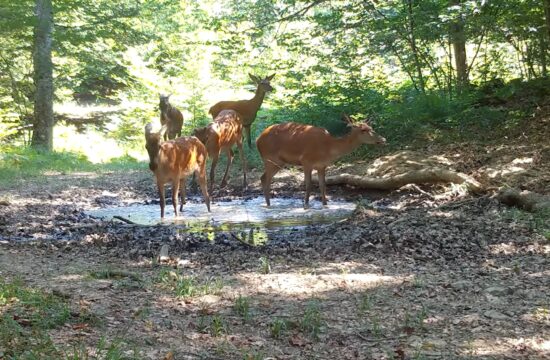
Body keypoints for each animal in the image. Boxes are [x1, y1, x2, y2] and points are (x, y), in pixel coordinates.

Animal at [256, 112, 388, 208]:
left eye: (371, 127)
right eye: (363, 130)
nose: (383, 139)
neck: (328, 148)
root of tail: (258, 140)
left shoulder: (322, 165)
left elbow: (322, 185)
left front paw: (325, 205)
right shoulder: (306, 161)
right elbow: (308, 184)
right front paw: (306, 206)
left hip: (279, 162)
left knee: (264, 178)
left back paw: (268, 204)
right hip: (270, 158)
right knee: (265, 178)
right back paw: (268, 205)